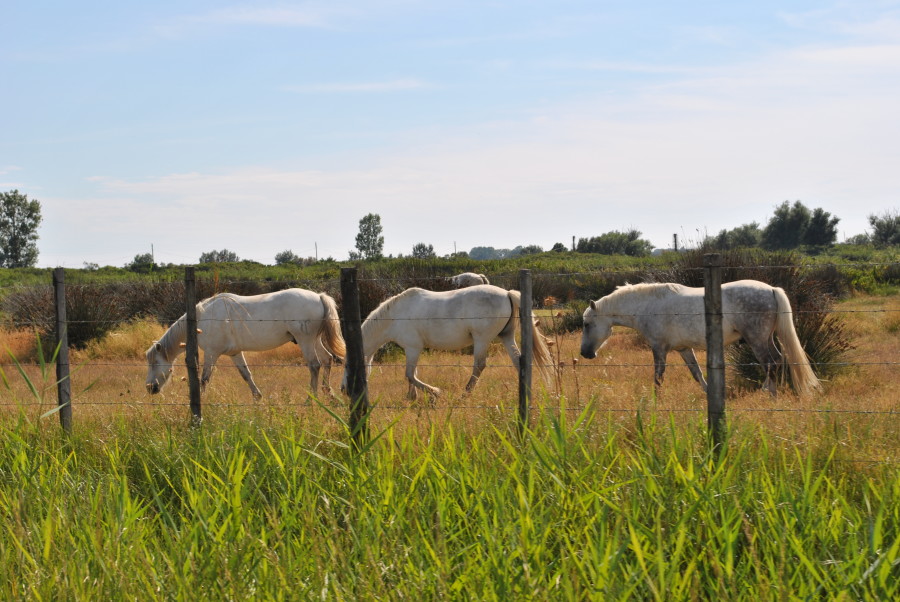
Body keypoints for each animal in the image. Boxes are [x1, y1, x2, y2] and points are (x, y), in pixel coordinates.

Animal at [146, 288, 346, 396]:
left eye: (155, 362)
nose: (150, 388)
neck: (203, 318)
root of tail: (319, 296)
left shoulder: (211, 353)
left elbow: (204, 379)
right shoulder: (235, 353)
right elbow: (246, 375)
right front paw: (258, 398)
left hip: (306, 341)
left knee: (315, 365)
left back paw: (311, 399)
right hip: (315, 340)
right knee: (327, 359)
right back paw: (328, 393)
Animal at [352, 284, 556, 398]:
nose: (346, 390)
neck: (396, 315)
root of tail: (507, 294)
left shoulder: (413, 347)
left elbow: (410, 375)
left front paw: (434, 393)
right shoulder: (412, 350)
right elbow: (413, 374)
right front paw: (412, 397)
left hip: (482, 340)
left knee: (479, 366)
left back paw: (465, 394)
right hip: (507, 336)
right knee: (518, 361)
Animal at [580, 280, 820, 394]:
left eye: (587, 324)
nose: (585, 353)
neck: (647, 307)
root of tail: (771, 289)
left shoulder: (659, 349)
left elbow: (658, 378)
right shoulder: (684, 349)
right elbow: (697, 375)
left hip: (757, 339)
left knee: (770, 363)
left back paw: (769, 393)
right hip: (765, 338)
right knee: (778, 360)